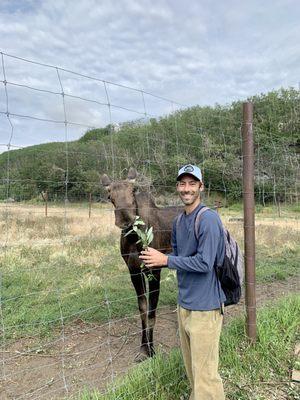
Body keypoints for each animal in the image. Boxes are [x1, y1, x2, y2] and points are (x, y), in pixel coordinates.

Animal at [101, 167, 182, 360]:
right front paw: (144, 348)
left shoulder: (154, 270)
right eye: (109, 195)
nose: (125, 219)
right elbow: (143, 310)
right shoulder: (134, 271)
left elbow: (152, 313)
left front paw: (151, 350)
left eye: (133, 190)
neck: (134, 239)